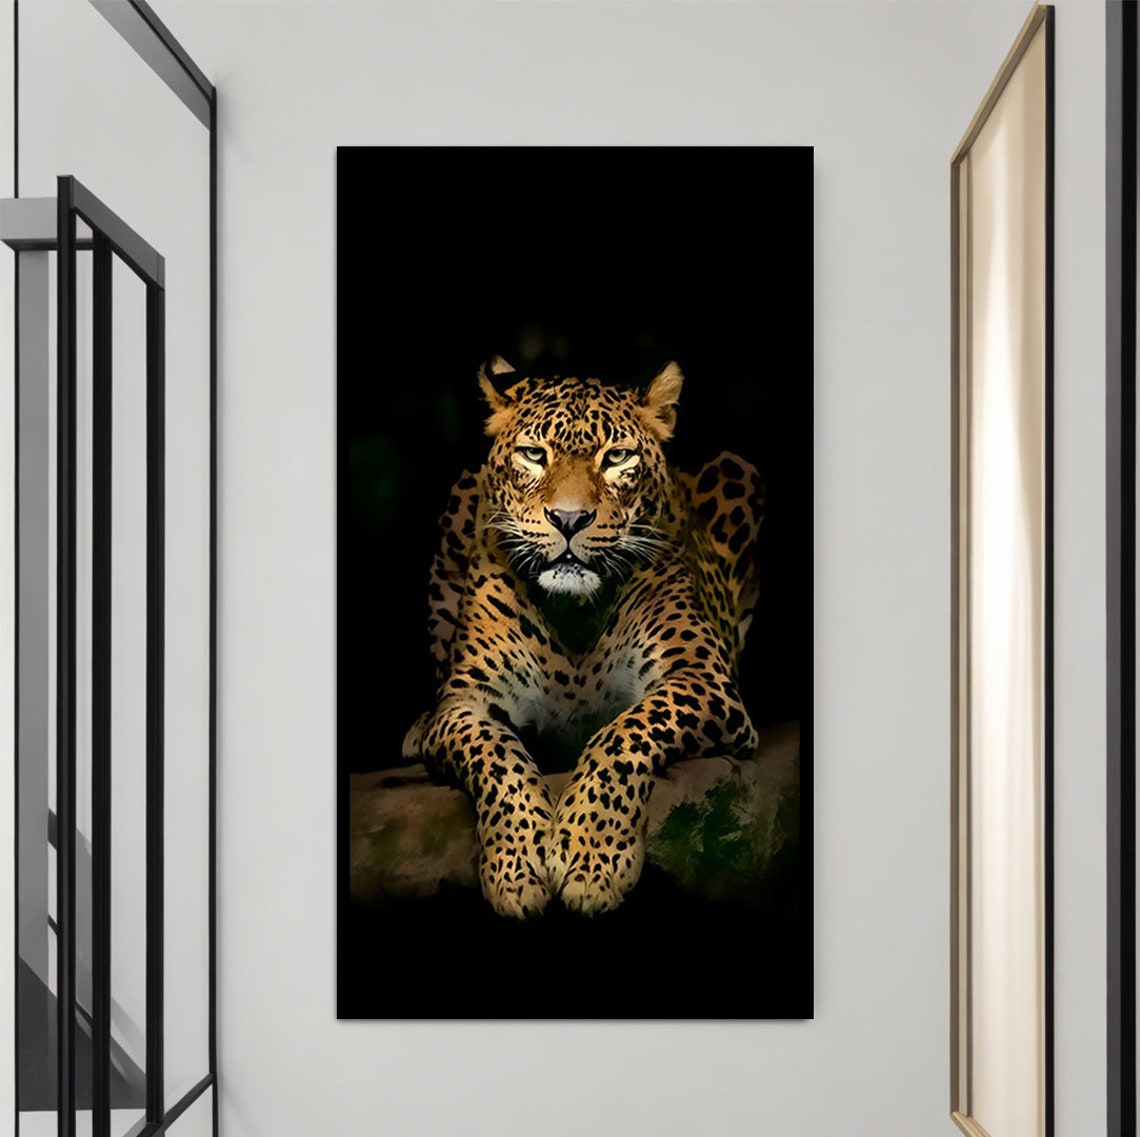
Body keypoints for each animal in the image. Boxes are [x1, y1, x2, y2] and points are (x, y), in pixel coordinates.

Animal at [402, 357, 765, 918]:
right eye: (534, 454)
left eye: (616, 457)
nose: (569, 519)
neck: (572, 614)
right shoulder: (466, 702)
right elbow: (496, 756)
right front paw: (517, 866)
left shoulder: (702, 678)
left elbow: (625, 732)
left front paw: (592, 859)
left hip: (738, 470)